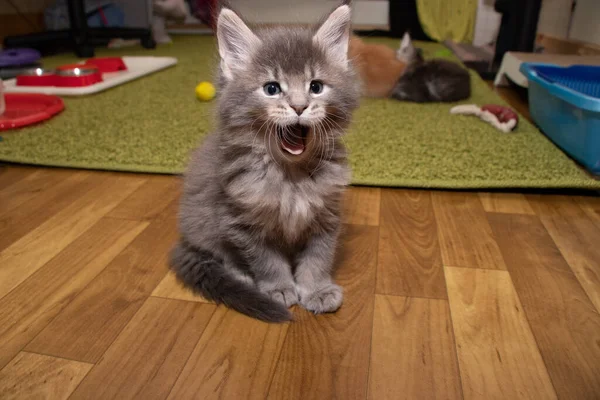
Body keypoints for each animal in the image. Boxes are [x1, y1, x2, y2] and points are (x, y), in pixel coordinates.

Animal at [169, 3, 358, 322]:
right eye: (272, 89)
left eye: (316, 86)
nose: (299, 106)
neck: (291, 176)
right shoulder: (242, 223)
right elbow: (267, 261)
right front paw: (278, 288)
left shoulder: (326, 215)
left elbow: (318, 258)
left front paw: (317, 290)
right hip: (206, 223)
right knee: (219, 255)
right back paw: (242, 277)